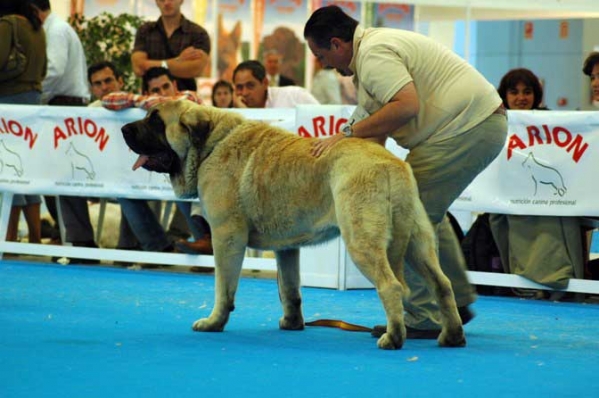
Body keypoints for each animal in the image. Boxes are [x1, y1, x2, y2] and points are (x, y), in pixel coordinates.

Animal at [122, 101, 466, 350]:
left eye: (155, 121)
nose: (124, 128)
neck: (210, 145)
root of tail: (391, 165)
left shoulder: (226, 236)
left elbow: (224, 287)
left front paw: (214, 322)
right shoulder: (286, 248)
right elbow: (289, 289)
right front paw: (292, 323)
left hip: (362, 241)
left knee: (391, 286)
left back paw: (393, 338)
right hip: (418, 243)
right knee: (442, 284)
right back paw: (452, 336)